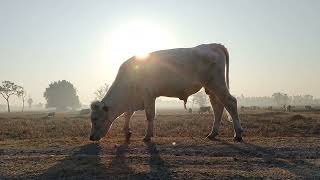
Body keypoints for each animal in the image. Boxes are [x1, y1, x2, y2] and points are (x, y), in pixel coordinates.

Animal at [91, 43, 244, 142]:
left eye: (95, 119)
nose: (91, 137)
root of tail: (212, 45)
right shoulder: (134, 101)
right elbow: (128, 115)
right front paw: (127, 132)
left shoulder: (148, 96)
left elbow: (149, 115)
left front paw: (147, 136)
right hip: (211, 89)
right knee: (218, 108)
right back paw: (212, 134)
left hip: (217, 84)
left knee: (231, 102)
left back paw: (238, 134)